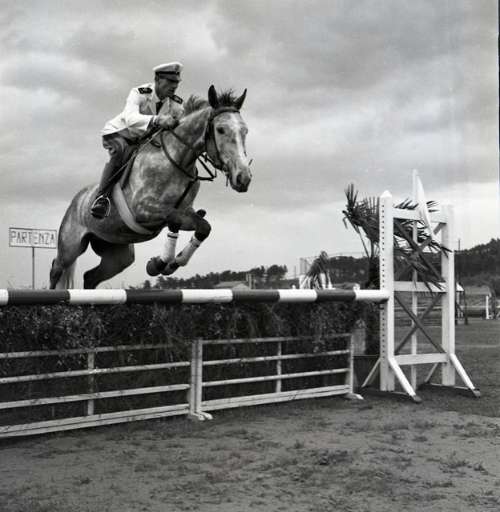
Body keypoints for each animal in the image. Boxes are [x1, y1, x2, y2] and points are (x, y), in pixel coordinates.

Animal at [49, 85, 251, 289]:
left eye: (245, 131)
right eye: (220, 129)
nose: (243, 178)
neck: (177, 161)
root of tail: (75, 201)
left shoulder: (186, 212)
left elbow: (203, 227)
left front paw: (172, 263)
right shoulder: (143, 210)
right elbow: (174, 218)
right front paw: (158, 264)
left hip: (117, 254)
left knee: (91, 277)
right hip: (70, 246)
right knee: (56, 269)